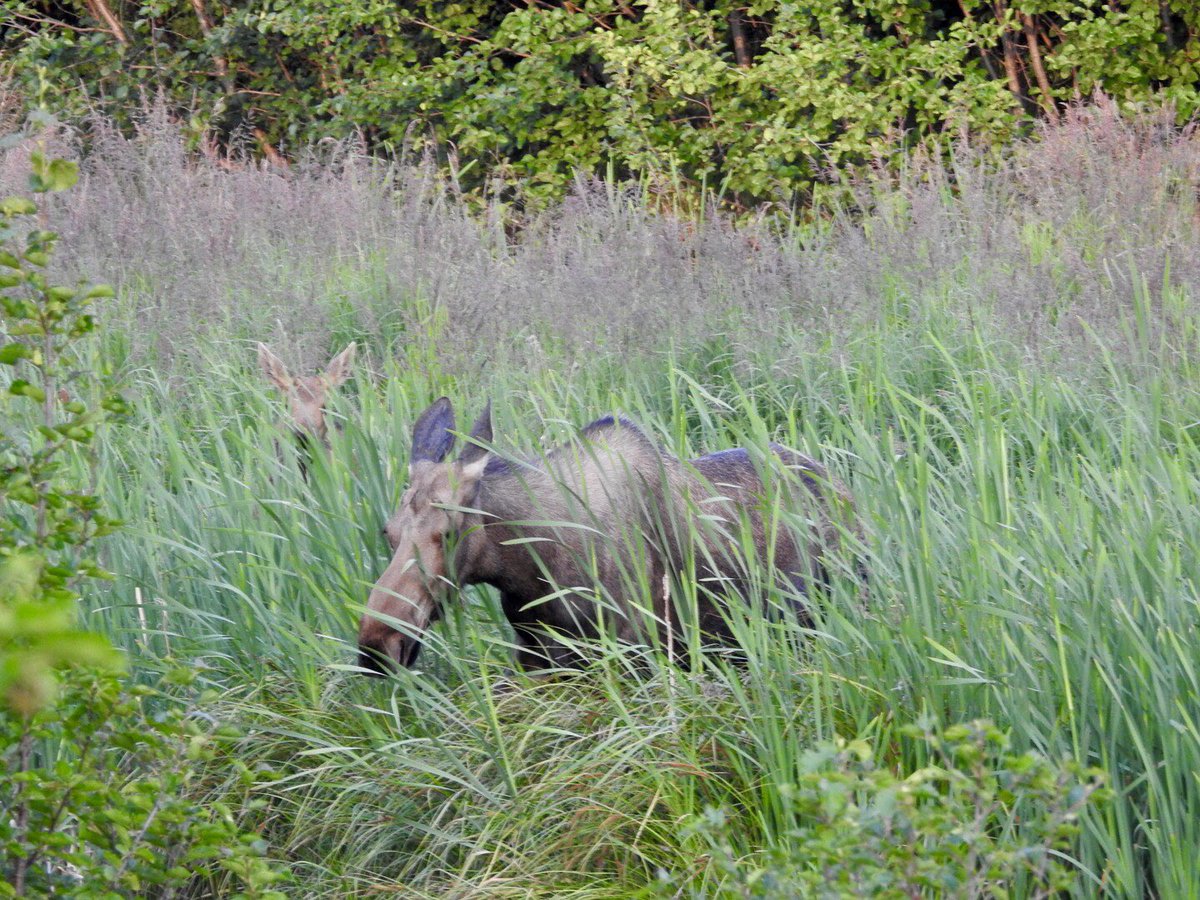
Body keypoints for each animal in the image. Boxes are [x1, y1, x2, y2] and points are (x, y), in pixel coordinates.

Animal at [357, 398, 864, 672]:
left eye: (448, 533)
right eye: (388, 532)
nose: (377, 646)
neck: (527, 572)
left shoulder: (639, 654)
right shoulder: (537, 659)